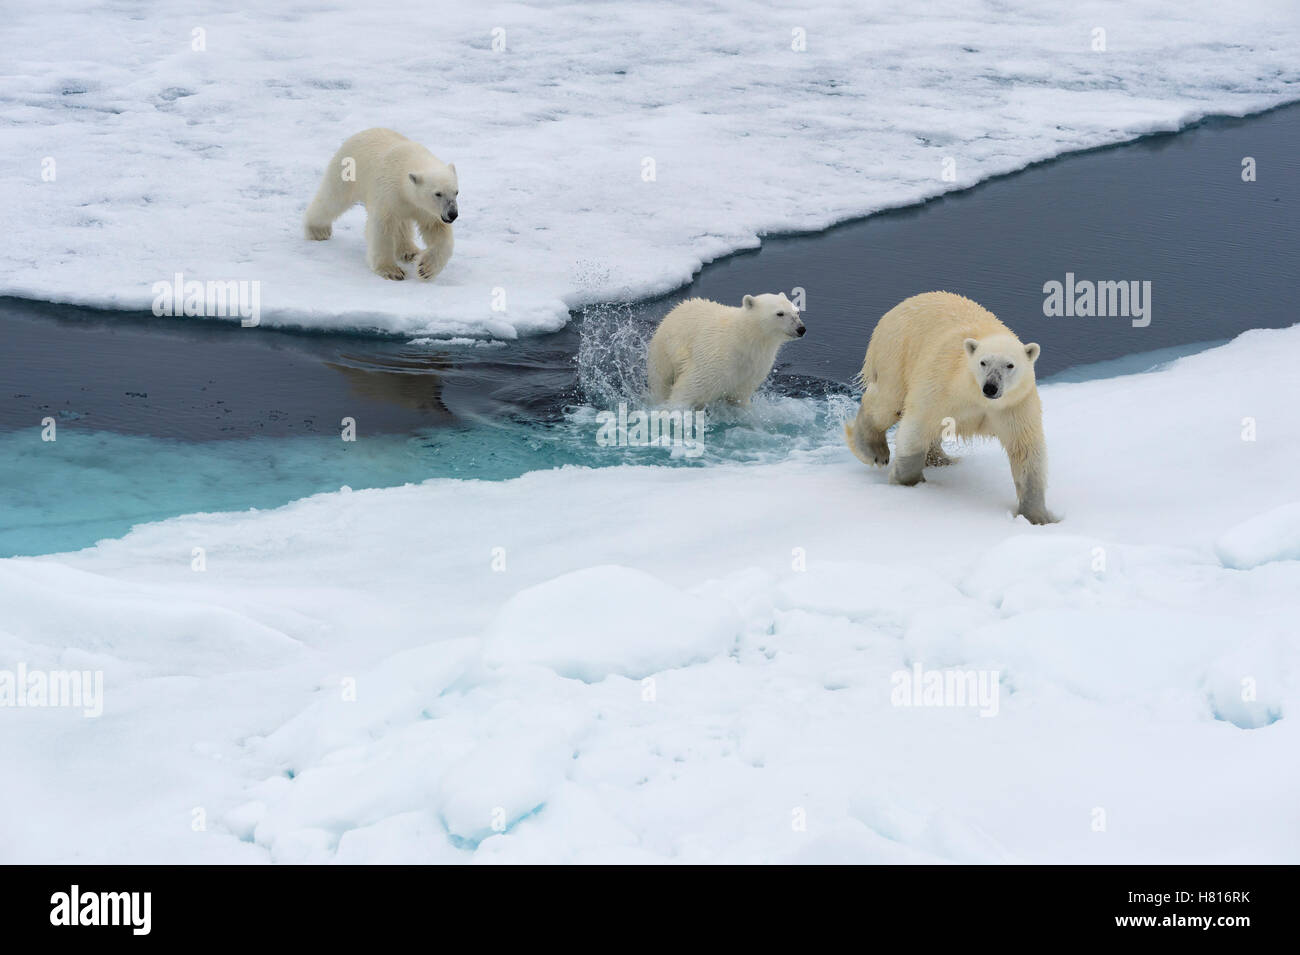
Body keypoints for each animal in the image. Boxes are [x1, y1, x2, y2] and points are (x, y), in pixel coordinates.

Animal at [302, 126, 457, 280]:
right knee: (332, 199)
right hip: (347, 171)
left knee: (402, 223)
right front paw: (392, 271)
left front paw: (425, 268)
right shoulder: (388, 192)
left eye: (456, 192)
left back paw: (409, 252)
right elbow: (382, 228)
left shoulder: (425, 209)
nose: (452, 214)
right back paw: (318, 230)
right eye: (438, 193)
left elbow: (437, 229)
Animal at [647, 294, 800, 407]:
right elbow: (687, 389)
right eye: (780, 313)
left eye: (797, 311)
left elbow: (739, 397)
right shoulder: (714, 358)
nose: (801, 328)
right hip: (663, 353)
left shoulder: (753, 369)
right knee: (661, 382)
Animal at [842, 293, 1055, 522]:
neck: (975, 395)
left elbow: (1025, 450)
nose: (991, 387)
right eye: (983, 362)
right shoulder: (943, 384)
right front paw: (907, 483)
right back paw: (874, 450)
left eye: (1010, 365)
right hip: (897, 352)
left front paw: (1037, 516)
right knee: (887, 402)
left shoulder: (1014, 405)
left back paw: (942, 459)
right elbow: (918, 424)